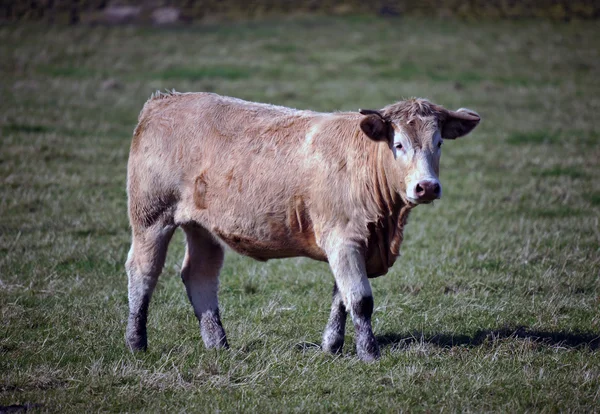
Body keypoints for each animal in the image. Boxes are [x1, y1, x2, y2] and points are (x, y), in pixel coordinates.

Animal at [124, 91, 480, 362]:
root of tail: (165, 100)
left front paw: (331, 346)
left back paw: (218, 343)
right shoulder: (342, 238)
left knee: (199, 275)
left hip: (203, 228)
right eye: (399, 145)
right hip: (150, 217)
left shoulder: (354, 243)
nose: (427, 187)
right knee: (143, 272)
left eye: (439, 143)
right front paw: (369, 354)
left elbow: (341, 297)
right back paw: (136, 342)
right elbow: (359, 299)